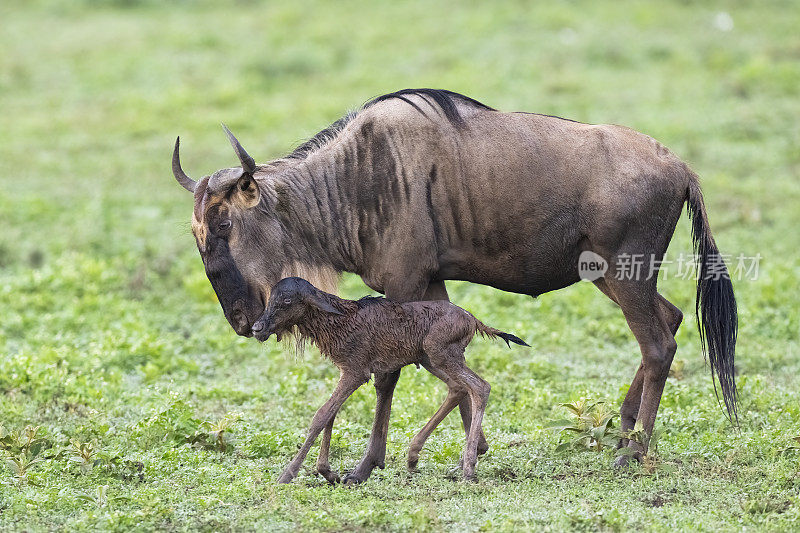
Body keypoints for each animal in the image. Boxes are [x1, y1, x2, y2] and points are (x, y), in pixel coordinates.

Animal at [253, 276, 528, 484]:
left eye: (287, 300)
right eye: (270, 298)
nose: (257, 328)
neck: (337, 320)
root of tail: (472, 319)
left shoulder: (356, 372)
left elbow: (321, 415)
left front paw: (287, 475)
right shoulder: (345, 371)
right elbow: (331, 414)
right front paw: (328, 473)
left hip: (442, 355)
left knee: (480, 386)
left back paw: (468, 468)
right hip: (430, 358)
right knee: (458, 388)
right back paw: (415, 455)